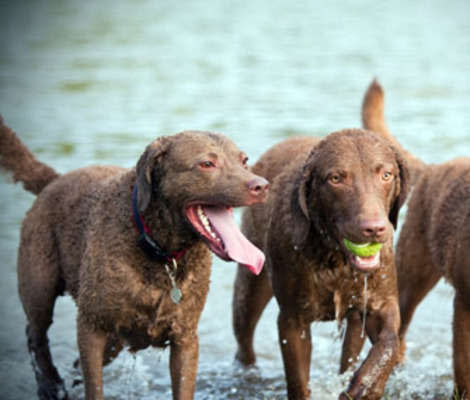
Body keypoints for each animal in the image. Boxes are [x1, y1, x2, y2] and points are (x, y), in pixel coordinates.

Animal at [0, 118, 268, 400]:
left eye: (244, 160)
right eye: (207, 163)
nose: (261, 185)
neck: (159, 252)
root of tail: (55, 180)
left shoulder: (185, 339)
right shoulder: (91, 326)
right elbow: (94, 387)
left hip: (114, 339)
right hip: (39, 285)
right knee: (35, 334)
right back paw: (50, 385)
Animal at [233, 126, 410, 398]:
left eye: (386, 175)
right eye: (336, 178)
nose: (374, 229)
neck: (335, 260)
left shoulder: (381, 302)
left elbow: (389, 343)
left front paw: (367, 385)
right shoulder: (292, 320)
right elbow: (298, 382)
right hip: (251, 287)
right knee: (244, 340)